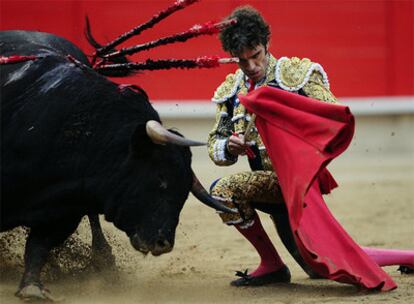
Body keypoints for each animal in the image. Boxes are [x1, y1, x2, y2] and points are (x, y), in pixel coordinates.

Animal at [0, 29, 233, 300]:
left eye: (184, 192)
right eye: (160, 180)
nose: (163, 244)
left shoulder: (66, 211)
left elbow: (38, 245)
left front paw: (32, 287)